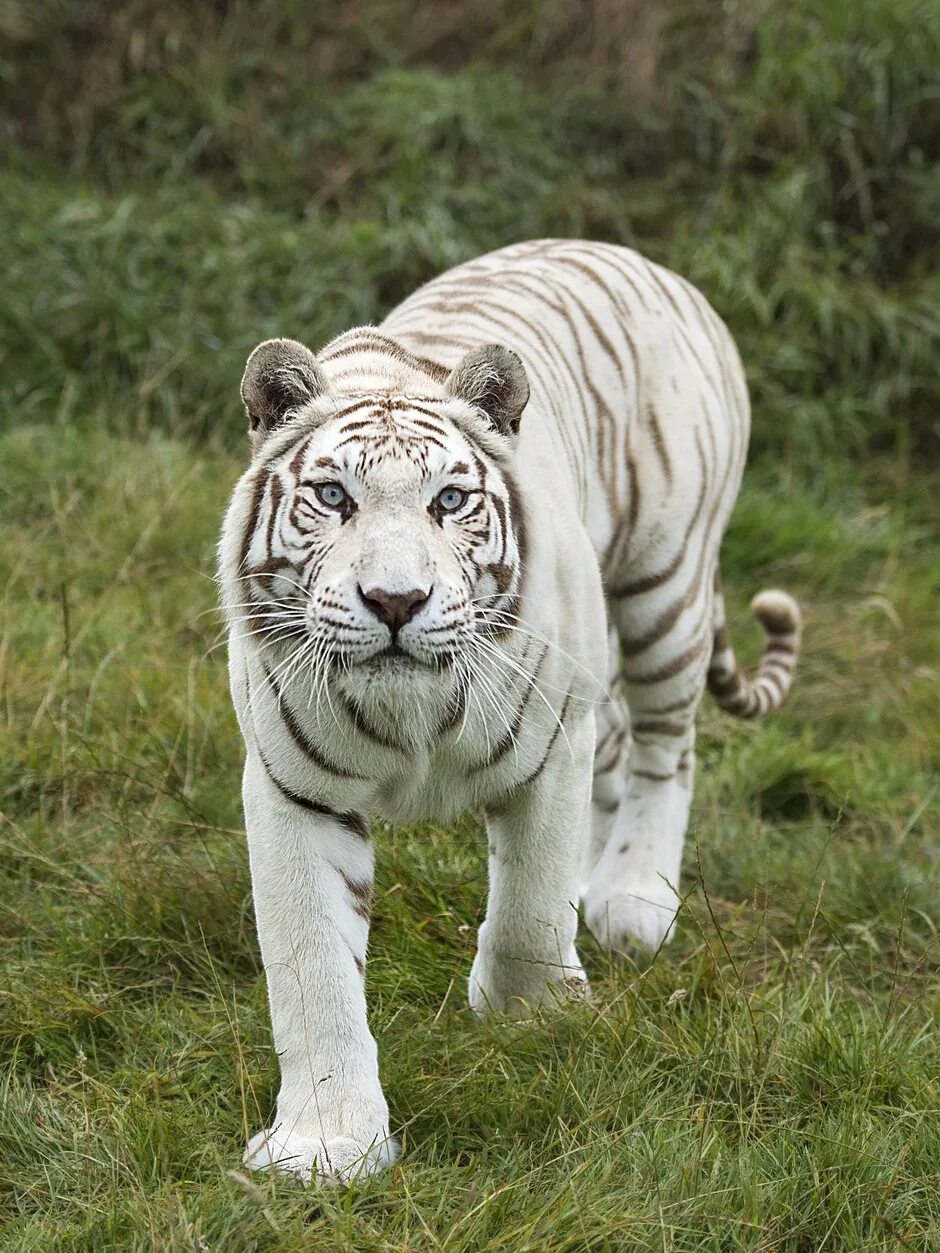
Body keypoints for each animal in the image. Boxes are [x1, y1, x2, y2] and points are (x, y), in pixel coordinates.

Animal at [220, 236, 802, 1182]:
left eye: (449, 500)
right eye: (334, 497)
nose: (395, 600)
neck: (411, 717)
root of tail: (634, 256)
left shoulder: (553, 741)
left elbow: (529, 900)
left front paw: (532, 1017)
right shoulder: (294, 789)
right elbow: (310, 967)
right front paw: (327, 1143)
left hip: (663, 584)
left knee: (665, 749)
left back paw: (634, 897)